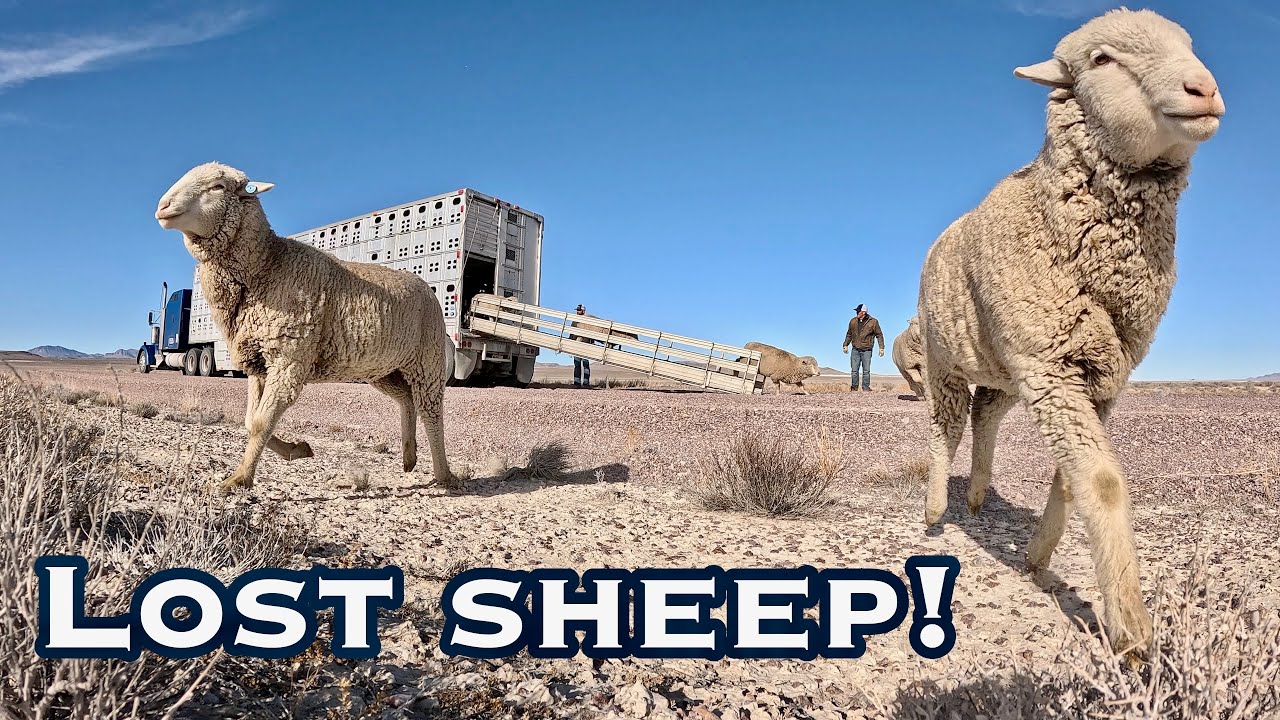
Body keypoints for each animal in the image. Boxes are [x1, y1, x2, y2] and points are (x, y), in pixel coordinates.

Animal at [154, 162, 454, 493]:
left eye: (218, 187)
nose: (162, 207)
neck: (268, 265)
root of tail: (426, 287)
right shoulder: (260, 362)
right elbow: (250, 420)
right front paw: (297, 449)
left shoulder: (288, 358)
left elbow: (260, 422)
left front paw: (240, 478)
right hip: (383, 368)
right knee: (406, 399)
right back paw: (409, 457)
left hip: (427, 360)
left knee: (431, 411)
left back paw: (444, 475)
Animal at [915, 9, 1223, 654]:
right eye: (1102, 60)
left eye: (1186, 44)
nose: (1203, 90)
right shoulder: (1053, 370)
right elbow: (1100, 481)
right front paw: (1130, 629)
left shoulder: (1101, 375)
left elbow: (1068, 477)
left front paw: (1036, 556)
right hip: (945, 355)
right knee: (946, 426)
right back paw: (934, 509)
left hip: (1005, 368)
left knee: (984, 414)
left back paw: (977, 493)